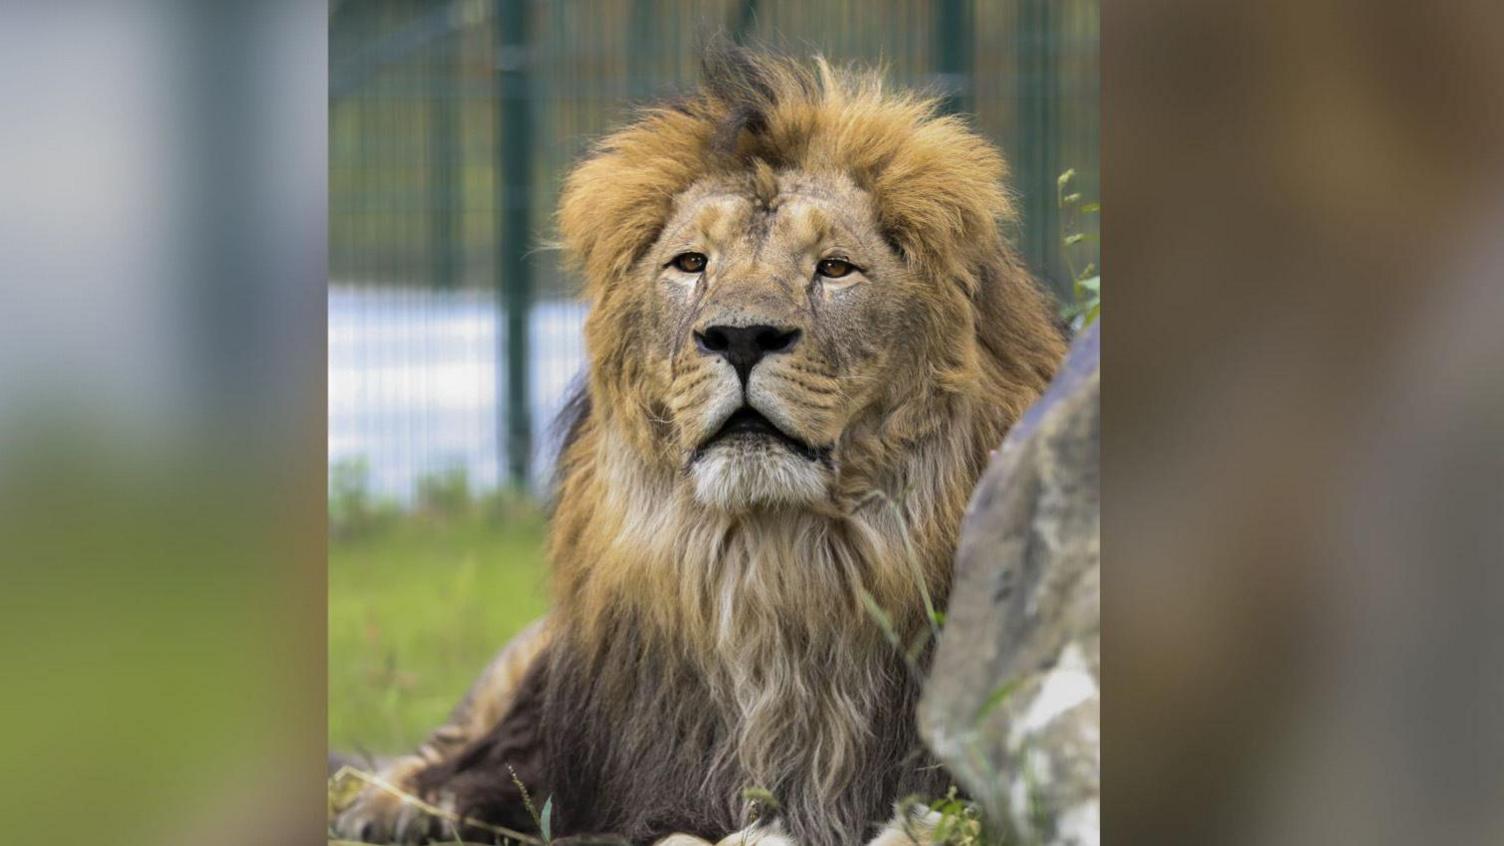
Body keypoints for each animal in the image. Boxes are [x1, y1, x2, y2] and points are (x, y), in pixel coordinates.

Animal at [338, 47, 1070, 842]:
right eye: (691, 264)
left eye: (835, 268)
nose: (741, 337)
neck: (776, 567)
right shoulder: (618, 796)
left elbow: (918, 823)